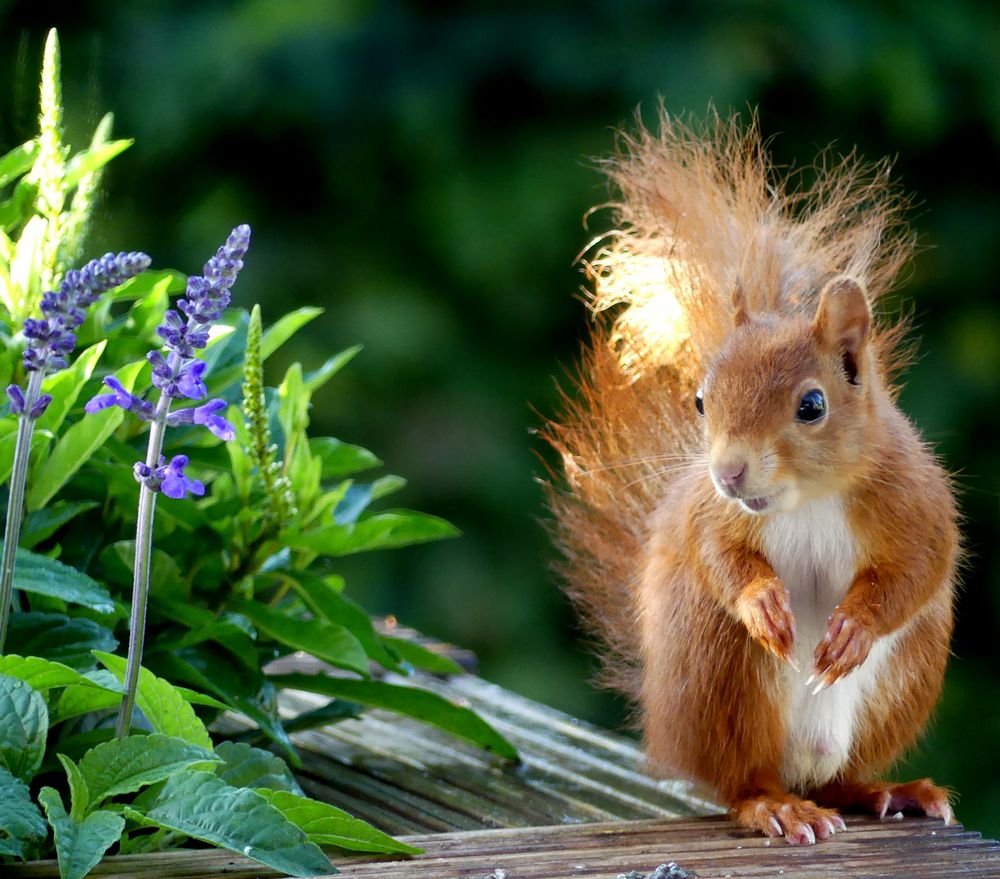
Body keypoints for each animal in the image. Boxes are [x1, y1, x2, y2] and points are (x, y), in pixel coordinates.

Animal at [548, 111, 960, 844]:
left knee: (841, 777)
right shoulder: (709, 512)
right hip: (722, 671)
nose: (728, 472)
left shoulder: (914, 496)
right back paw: (777, 805)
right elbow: (715, 552)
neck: (807, 500)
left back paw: (888, 789)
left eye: (813, 405)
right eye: (700, 400)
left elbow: (917, 567)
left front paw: (854, 627)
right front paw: (760, 599)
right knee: (743, 780)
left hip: (905, 678)